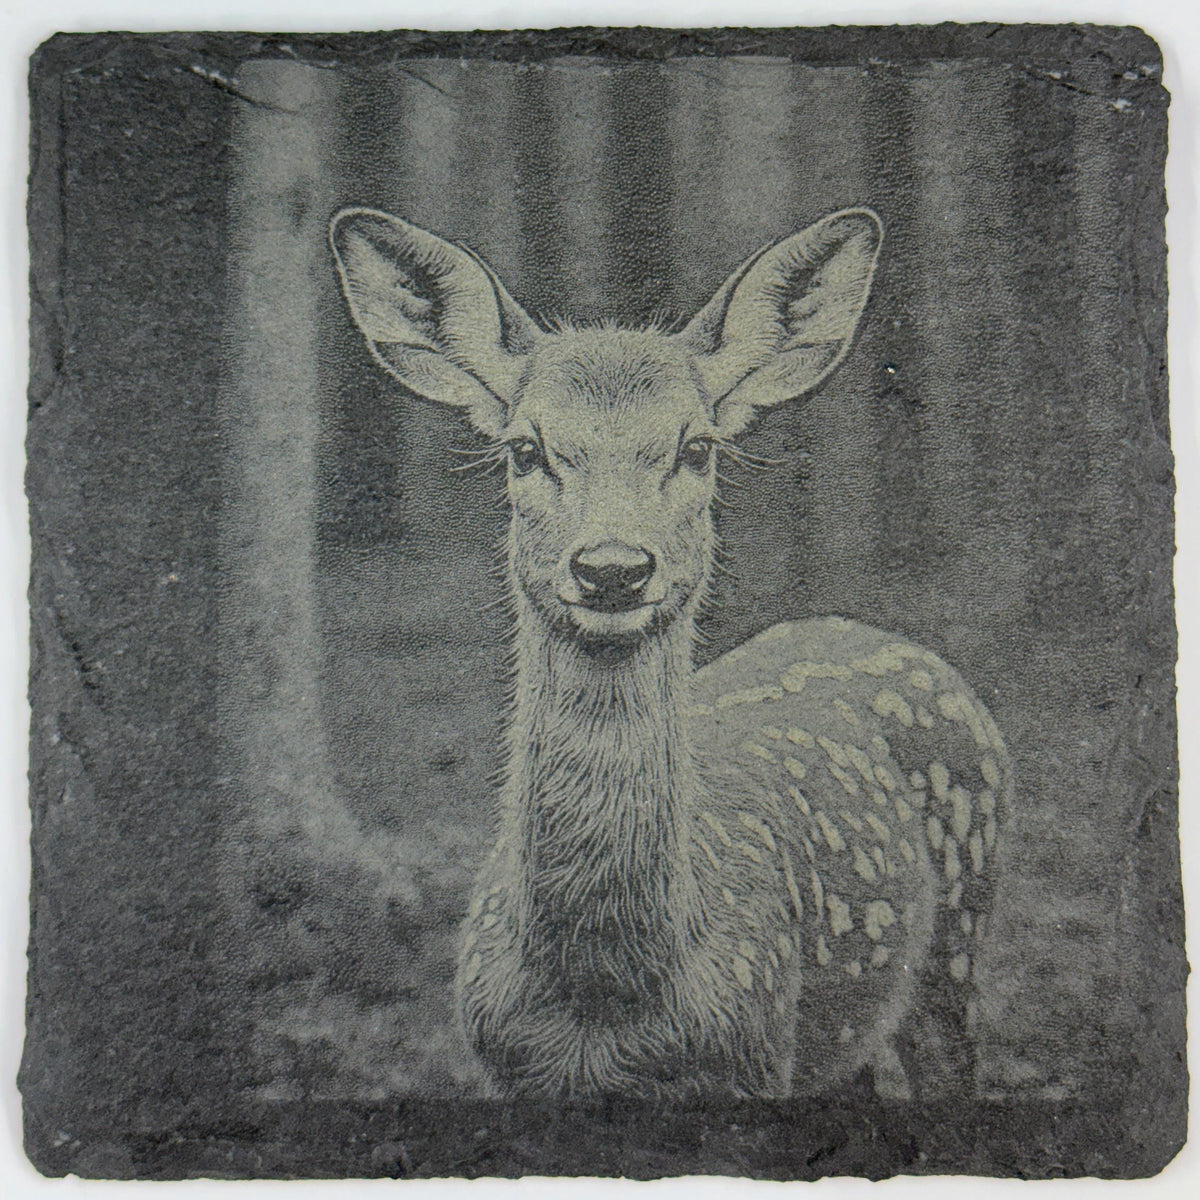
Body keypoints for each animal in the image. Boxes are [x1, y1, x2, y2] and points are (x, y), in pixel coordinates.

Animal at [330, 204, 1012, 1103]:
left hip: (960, 935)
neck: (602, 1003)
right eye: (524, 449)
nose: (612, 567)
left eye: (697, 448)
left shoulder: (756, 1053)